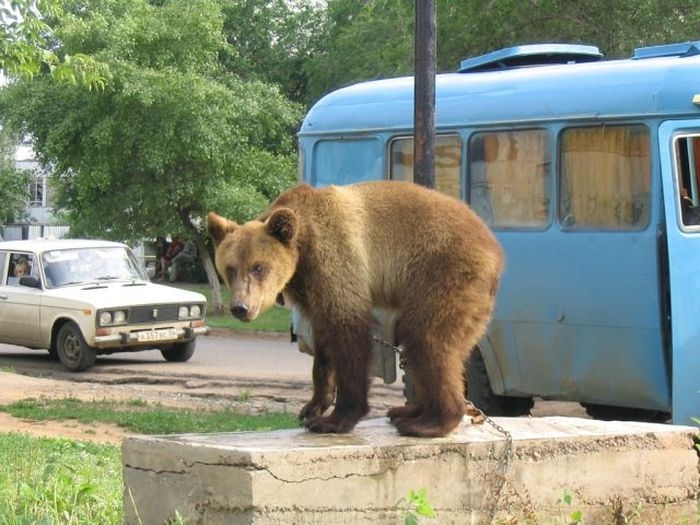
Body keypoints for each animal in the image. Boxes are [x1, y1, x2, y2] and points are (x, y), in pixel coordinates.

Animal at [208, 182, 504, 436]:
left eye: (258, 267)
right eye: (230, 268)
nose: (240, 307)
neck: (303, 248)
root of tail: (495, 251)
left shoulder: (336, 259)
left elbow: (348, 332)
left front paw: (333, 419)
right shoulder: (311, 290)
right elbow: (323, 344)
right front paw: (311, 407)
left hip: (441, 272)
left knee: (428, 338)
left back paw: (429, 422)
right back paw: (409, 412)